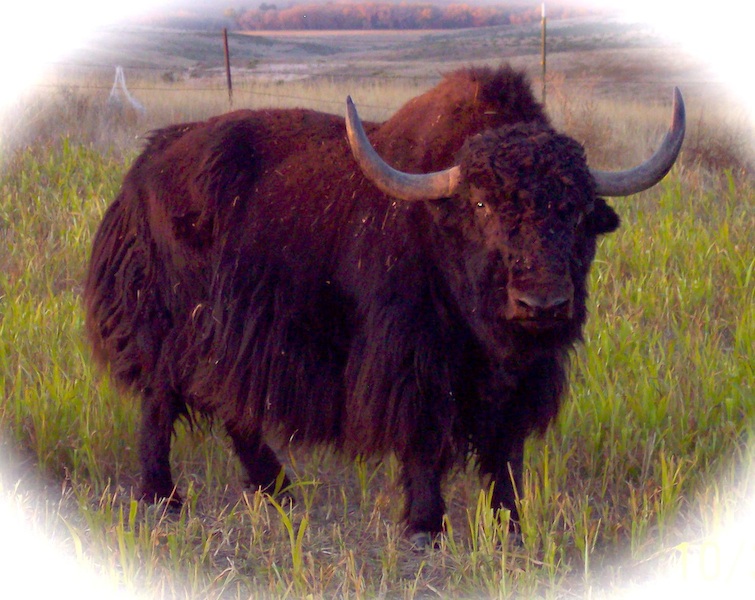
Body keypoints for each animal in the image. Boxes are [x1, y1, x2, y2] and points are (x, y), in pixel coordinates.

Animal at [83, 65, 685, 546]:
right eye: (482, 204)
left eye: (579, 212)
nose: (542, 302)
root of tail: (142, 166)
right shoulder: (412, 360)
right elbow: (423, 435)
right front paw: (425, 528)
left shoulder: (520, 379)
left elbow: (506, 449)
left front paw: (511, 525)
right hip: (168, 327)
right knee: (161, 402)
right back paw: (163, 498)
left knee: (231, 408)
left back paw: (281, 493)